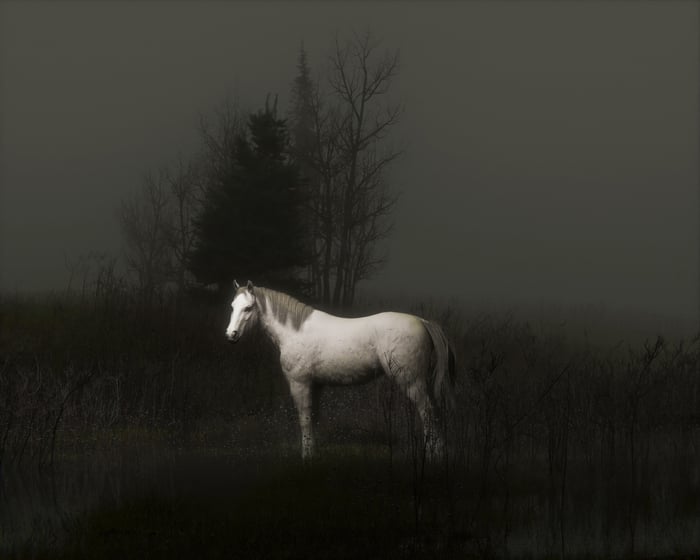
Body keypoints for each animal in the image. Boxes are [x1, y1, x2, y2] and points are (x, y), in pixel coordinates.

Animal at [225, 280, 455, 461]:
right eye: (233, 306)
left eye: (248, 308)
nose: (231, 335)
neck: (295, 331)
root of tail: (423, 322)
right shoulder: (315, 386)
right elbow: (313, 419)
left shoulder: (300, 384)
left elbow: (304, 421)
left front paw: (306, 458)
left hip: (412, 382)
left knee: (428, 415)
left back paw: (433, 456)